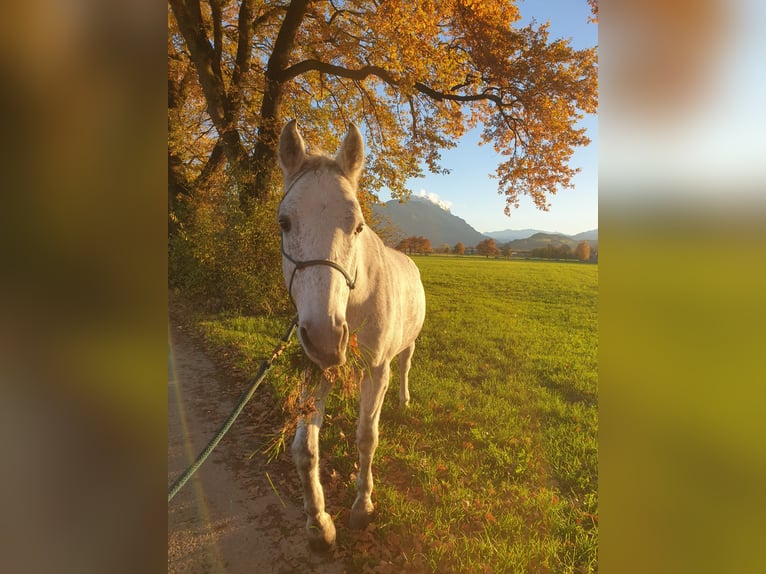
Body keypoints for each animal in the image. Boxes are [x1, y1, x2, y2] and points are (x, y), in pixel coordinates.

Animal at [277, 120, 426, 550]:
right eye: (284, 223)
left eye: (357, 225)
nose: (327, 337)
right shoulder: (317, 370)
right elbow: (304, 450)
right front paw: (319, 523)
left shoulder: (375, 370)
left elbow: (367, 438)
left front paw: (362, 508)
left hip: (406, 347)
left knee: (404, 367)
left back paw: (403, 399)